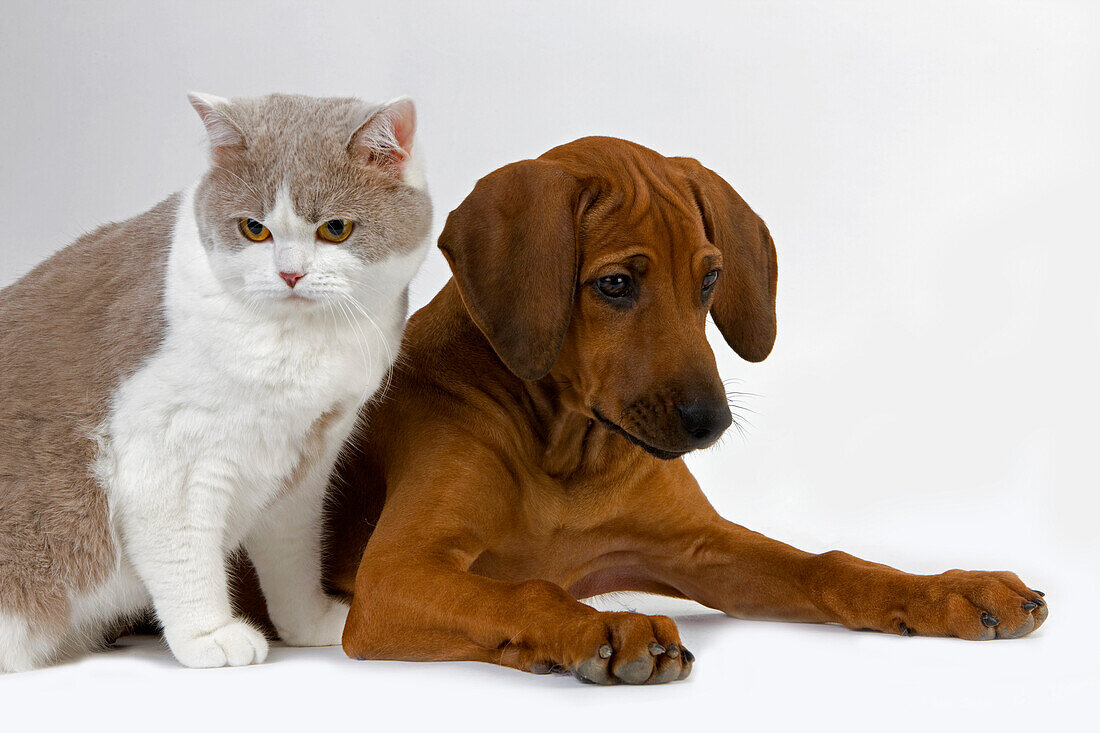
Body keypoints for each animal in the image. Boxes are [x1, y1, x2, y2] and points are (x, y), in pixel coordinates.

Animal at [0, 91, 431, 669]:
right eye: (254, 228)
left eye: (335, 228)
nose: (290, 274)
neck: (297, 341)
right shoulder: (165, 455)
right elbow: (185, 555)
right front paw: (209, 635)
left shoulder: (302, 468)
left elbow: (293, 557)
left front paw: (310, 624)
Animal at [321, 135, 1047, 677]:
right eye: (615, 284)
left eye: (711, 278)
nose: (712, 423)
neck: (566, 451)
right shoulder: (394, 577)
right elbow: (527, 587)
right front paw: (602, 624)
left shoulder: (701, 548)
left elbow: (829, 564)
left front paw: (949, 589)